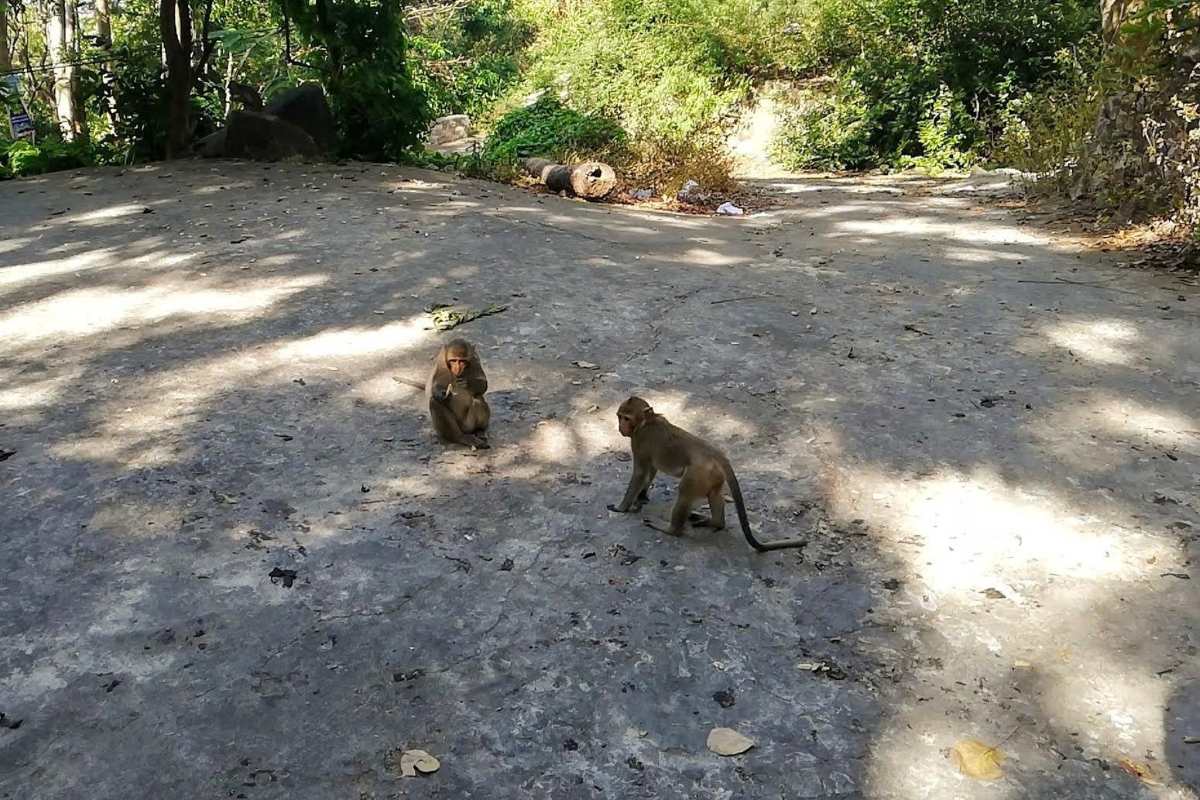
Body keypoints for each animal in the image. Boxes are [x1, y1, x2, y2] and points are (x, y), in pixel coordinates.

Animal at [607, 396, 806, 552]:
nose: (620, 427)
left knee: (684, 492)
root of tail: (716, 454)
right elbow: (651, 471)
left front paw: (621, 507)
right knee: (715, 494)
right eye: (619, 416)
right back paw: (714, 522)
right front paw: (641, 497)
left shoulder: (639, 441)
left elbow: (640, 473)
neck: (646, 422)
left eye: (626, 418)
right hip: (713, 475)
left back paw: (670, 529)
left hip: (697, 473)